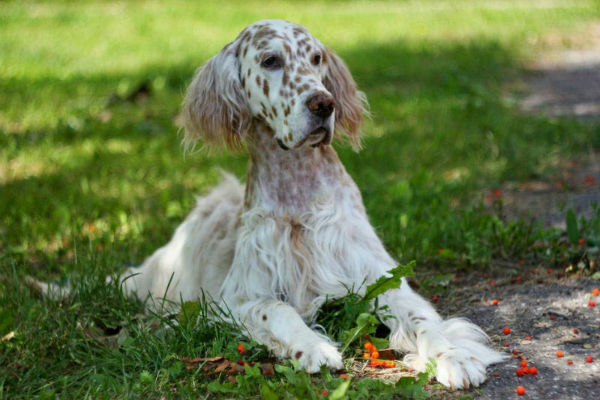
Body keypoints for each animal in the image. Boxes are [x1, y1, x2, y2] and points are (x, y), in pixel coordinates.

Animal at [38, 19, 506, 390]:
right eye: (270, 61)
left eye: (316, 58)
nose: (324, 103)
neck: (297, 190)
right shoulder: (237, 298)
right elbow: (276, 309)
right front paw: (312, 346)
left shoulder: (381, 277)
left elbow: (424, 321)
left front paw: (453, 357)